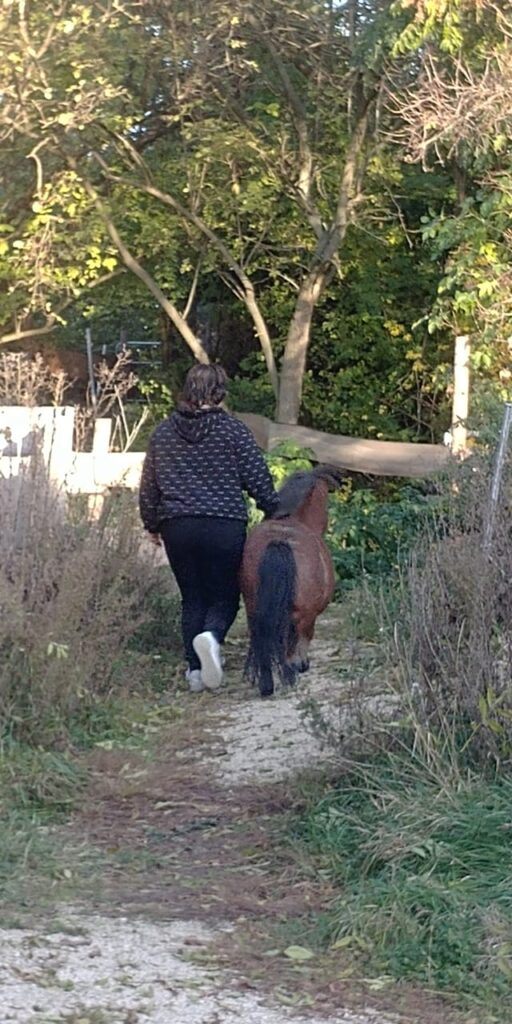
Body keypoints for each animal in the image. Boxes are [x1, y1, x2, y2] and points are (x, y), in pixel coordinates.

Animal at [238, 468, 344, 700]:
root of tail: (279, 541)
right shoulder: (309, 615)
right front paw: (301, 664)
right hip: (300, 613)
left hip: (253, 609)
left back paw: (267, 685)